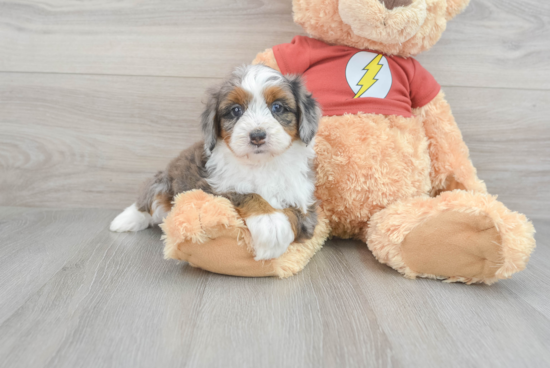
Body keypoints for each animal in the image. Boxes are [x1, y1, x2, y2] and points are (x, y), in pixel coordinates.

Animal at [109, 64, 322, 260]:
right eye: (236, 110)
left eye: (277, 107)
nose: (257, 136)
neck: (261, 164)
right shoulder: (211, 188)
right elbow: (247, 193)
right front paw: (269, 221)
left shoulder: (305, 203)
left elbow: (295, 213)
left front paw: (274, 229)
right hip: (165, 182)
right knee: (149, 200)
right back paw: (124, 220)